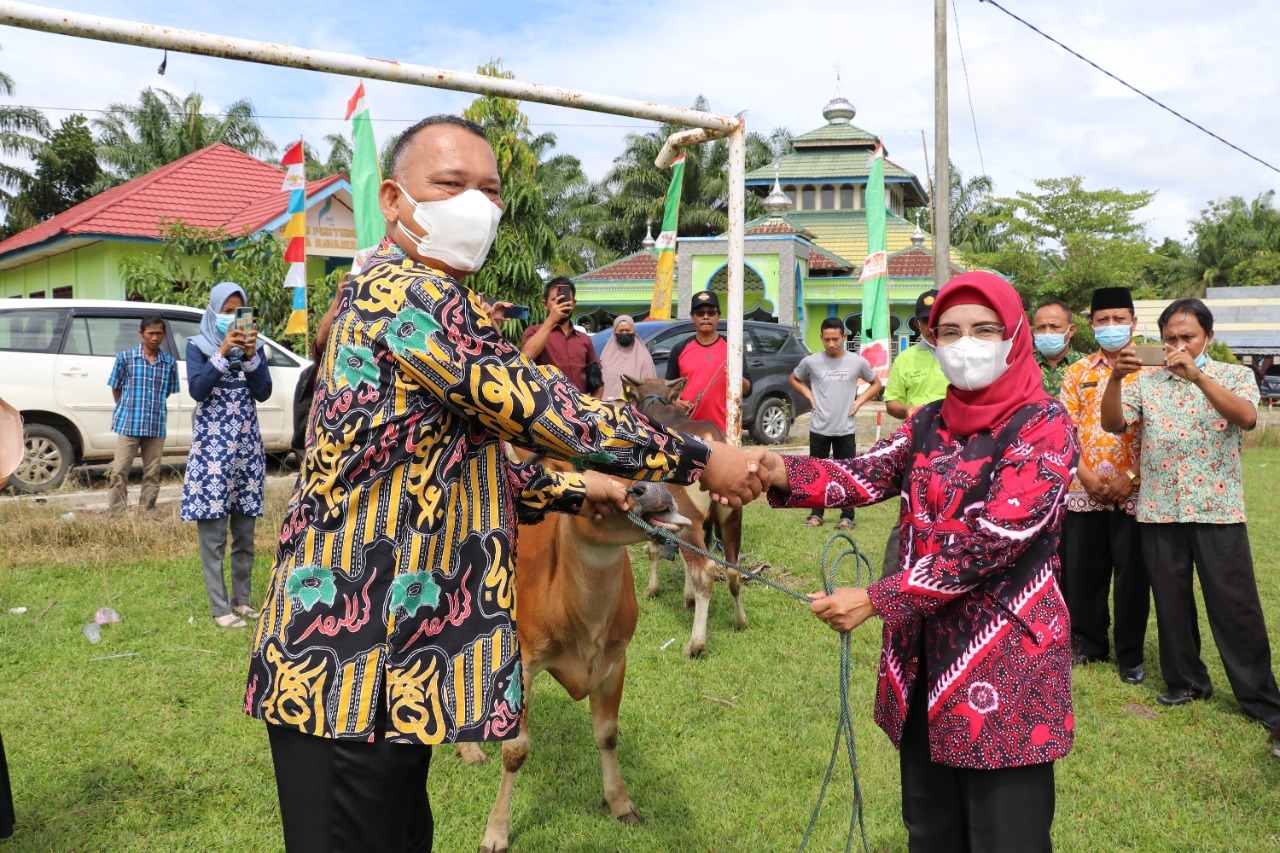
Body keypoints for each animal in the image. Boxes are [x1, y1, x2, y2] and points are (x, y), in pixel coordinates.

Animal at [463, 450, 691, 850]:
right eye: (581, 470)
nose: (653, 490)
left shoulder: (616, 660)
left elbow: (608, 734)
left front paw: (620, 803)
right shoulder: (523, 664)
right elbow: (515, 750)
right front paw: (496, 831)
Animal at [619, 373, 747, 655]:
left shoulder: (651, 506)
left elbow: (654, 549)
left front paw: (652, 589)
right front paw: (688, 599)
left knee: (705, 570)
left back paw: (696, 644)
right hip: (730, 517)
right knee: (732, 568)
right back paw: (740, 621)